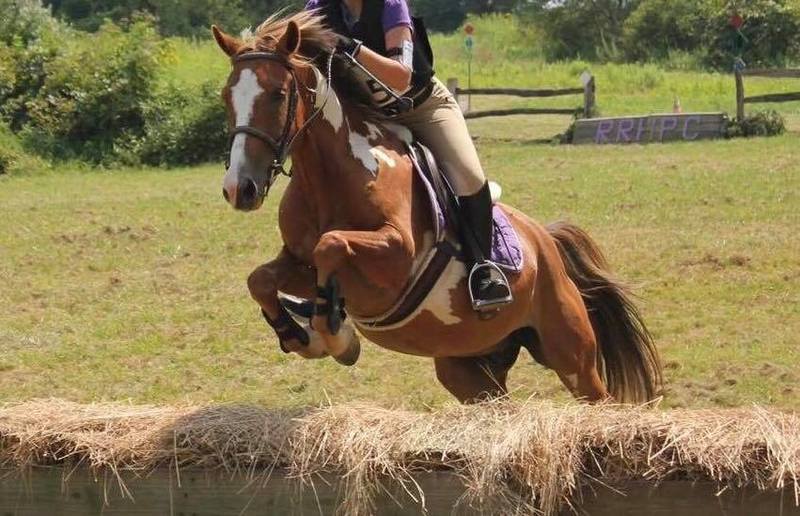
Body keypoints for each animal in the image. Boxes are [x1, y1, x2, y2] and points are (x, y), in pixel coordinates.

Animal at [212, 12, 664, 406]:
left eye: (278, 95)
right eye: (226, 97)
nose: (240, 188)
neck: (327, 176)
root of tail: (545, 241)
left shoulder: (395, 259)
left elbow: (333, 243)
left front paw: (335, 336)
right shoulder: (300, 262)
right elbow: (261, 278)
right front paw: (303, 334)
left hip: (570, 353)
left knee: (597, 397)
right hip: (468, 370)